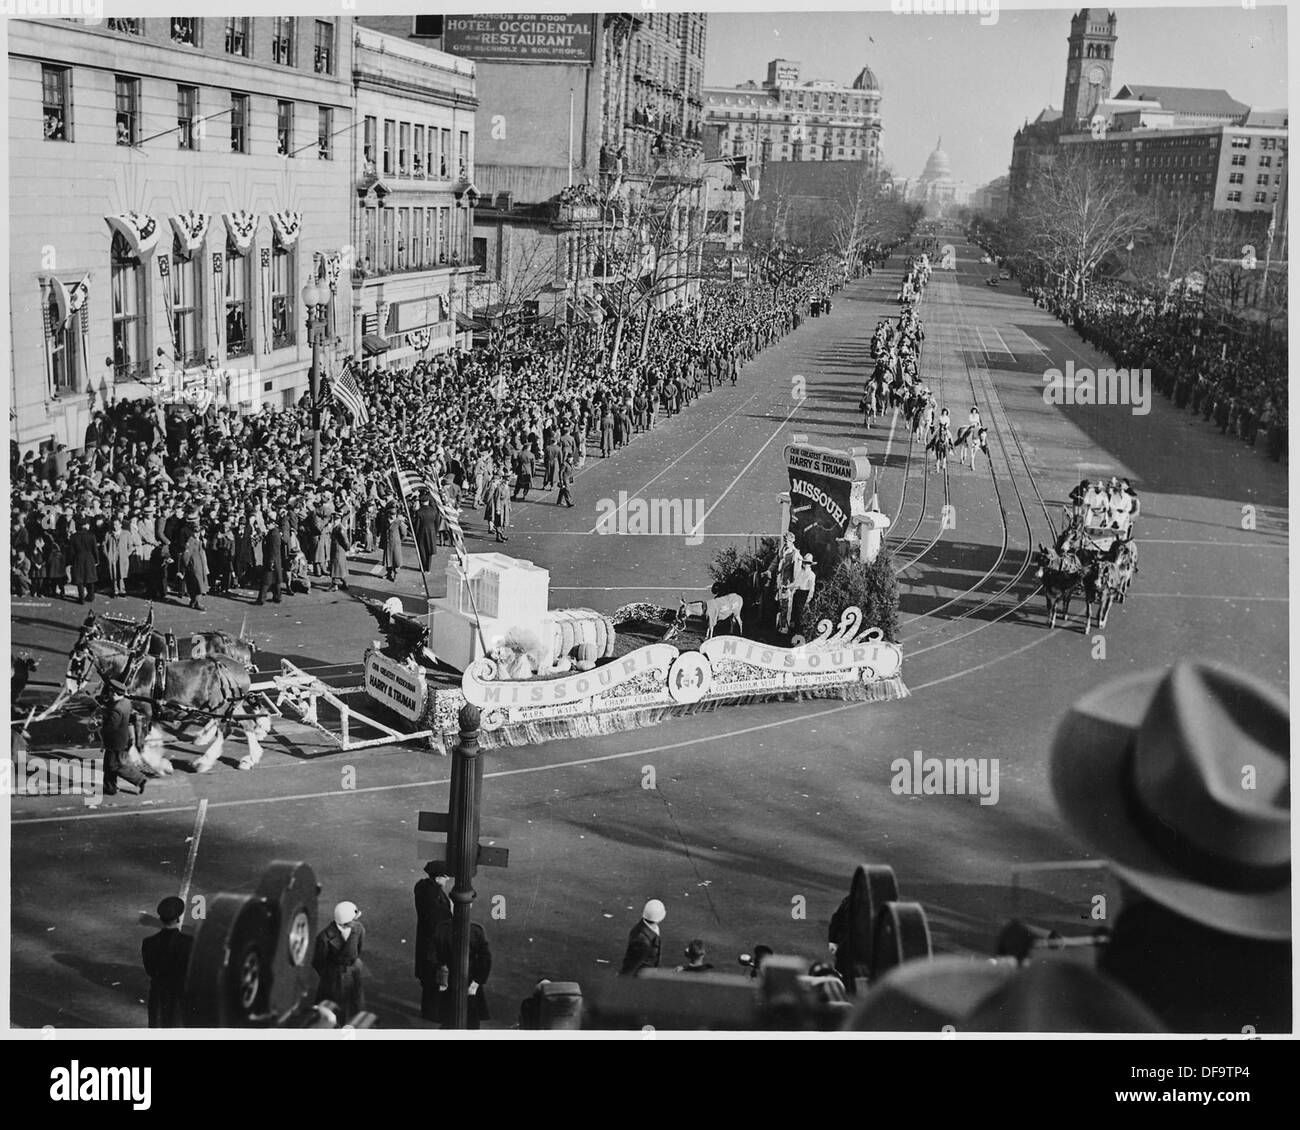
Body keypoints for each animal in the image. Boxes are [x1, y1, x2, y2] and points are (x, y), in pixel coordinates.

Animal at [62, 629, 270, 769]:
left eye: (78, 662)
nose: (70, 687)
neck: (131, 670)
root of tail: (239, 667)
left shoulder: (143, 712)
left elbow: (140, 743)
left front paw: (156, 764)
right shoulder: (133, 713)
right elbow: (132, 741)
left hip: (220, 707)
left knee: (225, 730)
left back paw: (203, 761)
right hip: (232, 705)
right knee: (246, 725)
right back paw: (251, 757)